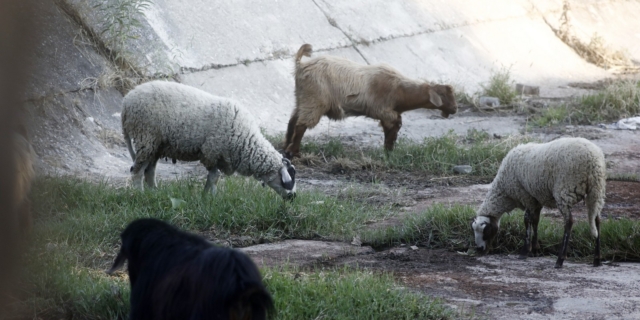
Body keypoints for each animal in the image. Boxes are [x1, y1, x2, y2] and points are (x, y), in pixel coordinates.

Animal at [121, 81, 296, 199]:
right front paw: (210, 197)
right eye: (287, 180)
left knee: (149, 171)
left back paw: (154, 193)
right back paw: (140, 194)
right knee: (137, 171)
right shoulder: (212, 152)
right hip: (146, 136)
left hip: (155, 144)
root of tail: (127, 101)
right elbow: (214, 177)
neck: (247, 143)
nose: (293, 197)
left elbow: (214, 177)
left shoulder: (219, 156)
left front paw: (209, 197)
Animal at [282, 43, 458, 159]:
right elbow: (394, 127)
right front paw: (389, 152)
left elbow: (391, 129)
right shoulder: (383, 110)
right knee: (301, 124)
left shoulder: (387, 113)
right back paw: (294, 152)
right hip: (315, 100)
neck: (400, 90)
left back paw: (286, 147)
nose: (455, 109)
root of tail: (300, 65)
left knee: (292, 121)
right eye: (444, 95)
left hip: (302, 98)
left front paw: (388, 151)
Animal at [470, 137, 604, 268]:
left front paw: (525, 251)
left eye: (486, 231)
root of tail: (593, 159)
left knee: (569, 221)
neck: (505, 193)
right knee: (597, 220)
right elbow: (535, 221)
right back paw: (597, 259)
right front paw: (535, 249)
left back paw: (560, 260)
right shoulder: (536, 199)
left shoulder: (526, 196)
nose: (480, 250)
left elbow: (526, 220)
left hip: (565, 189)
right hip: (596, 191)